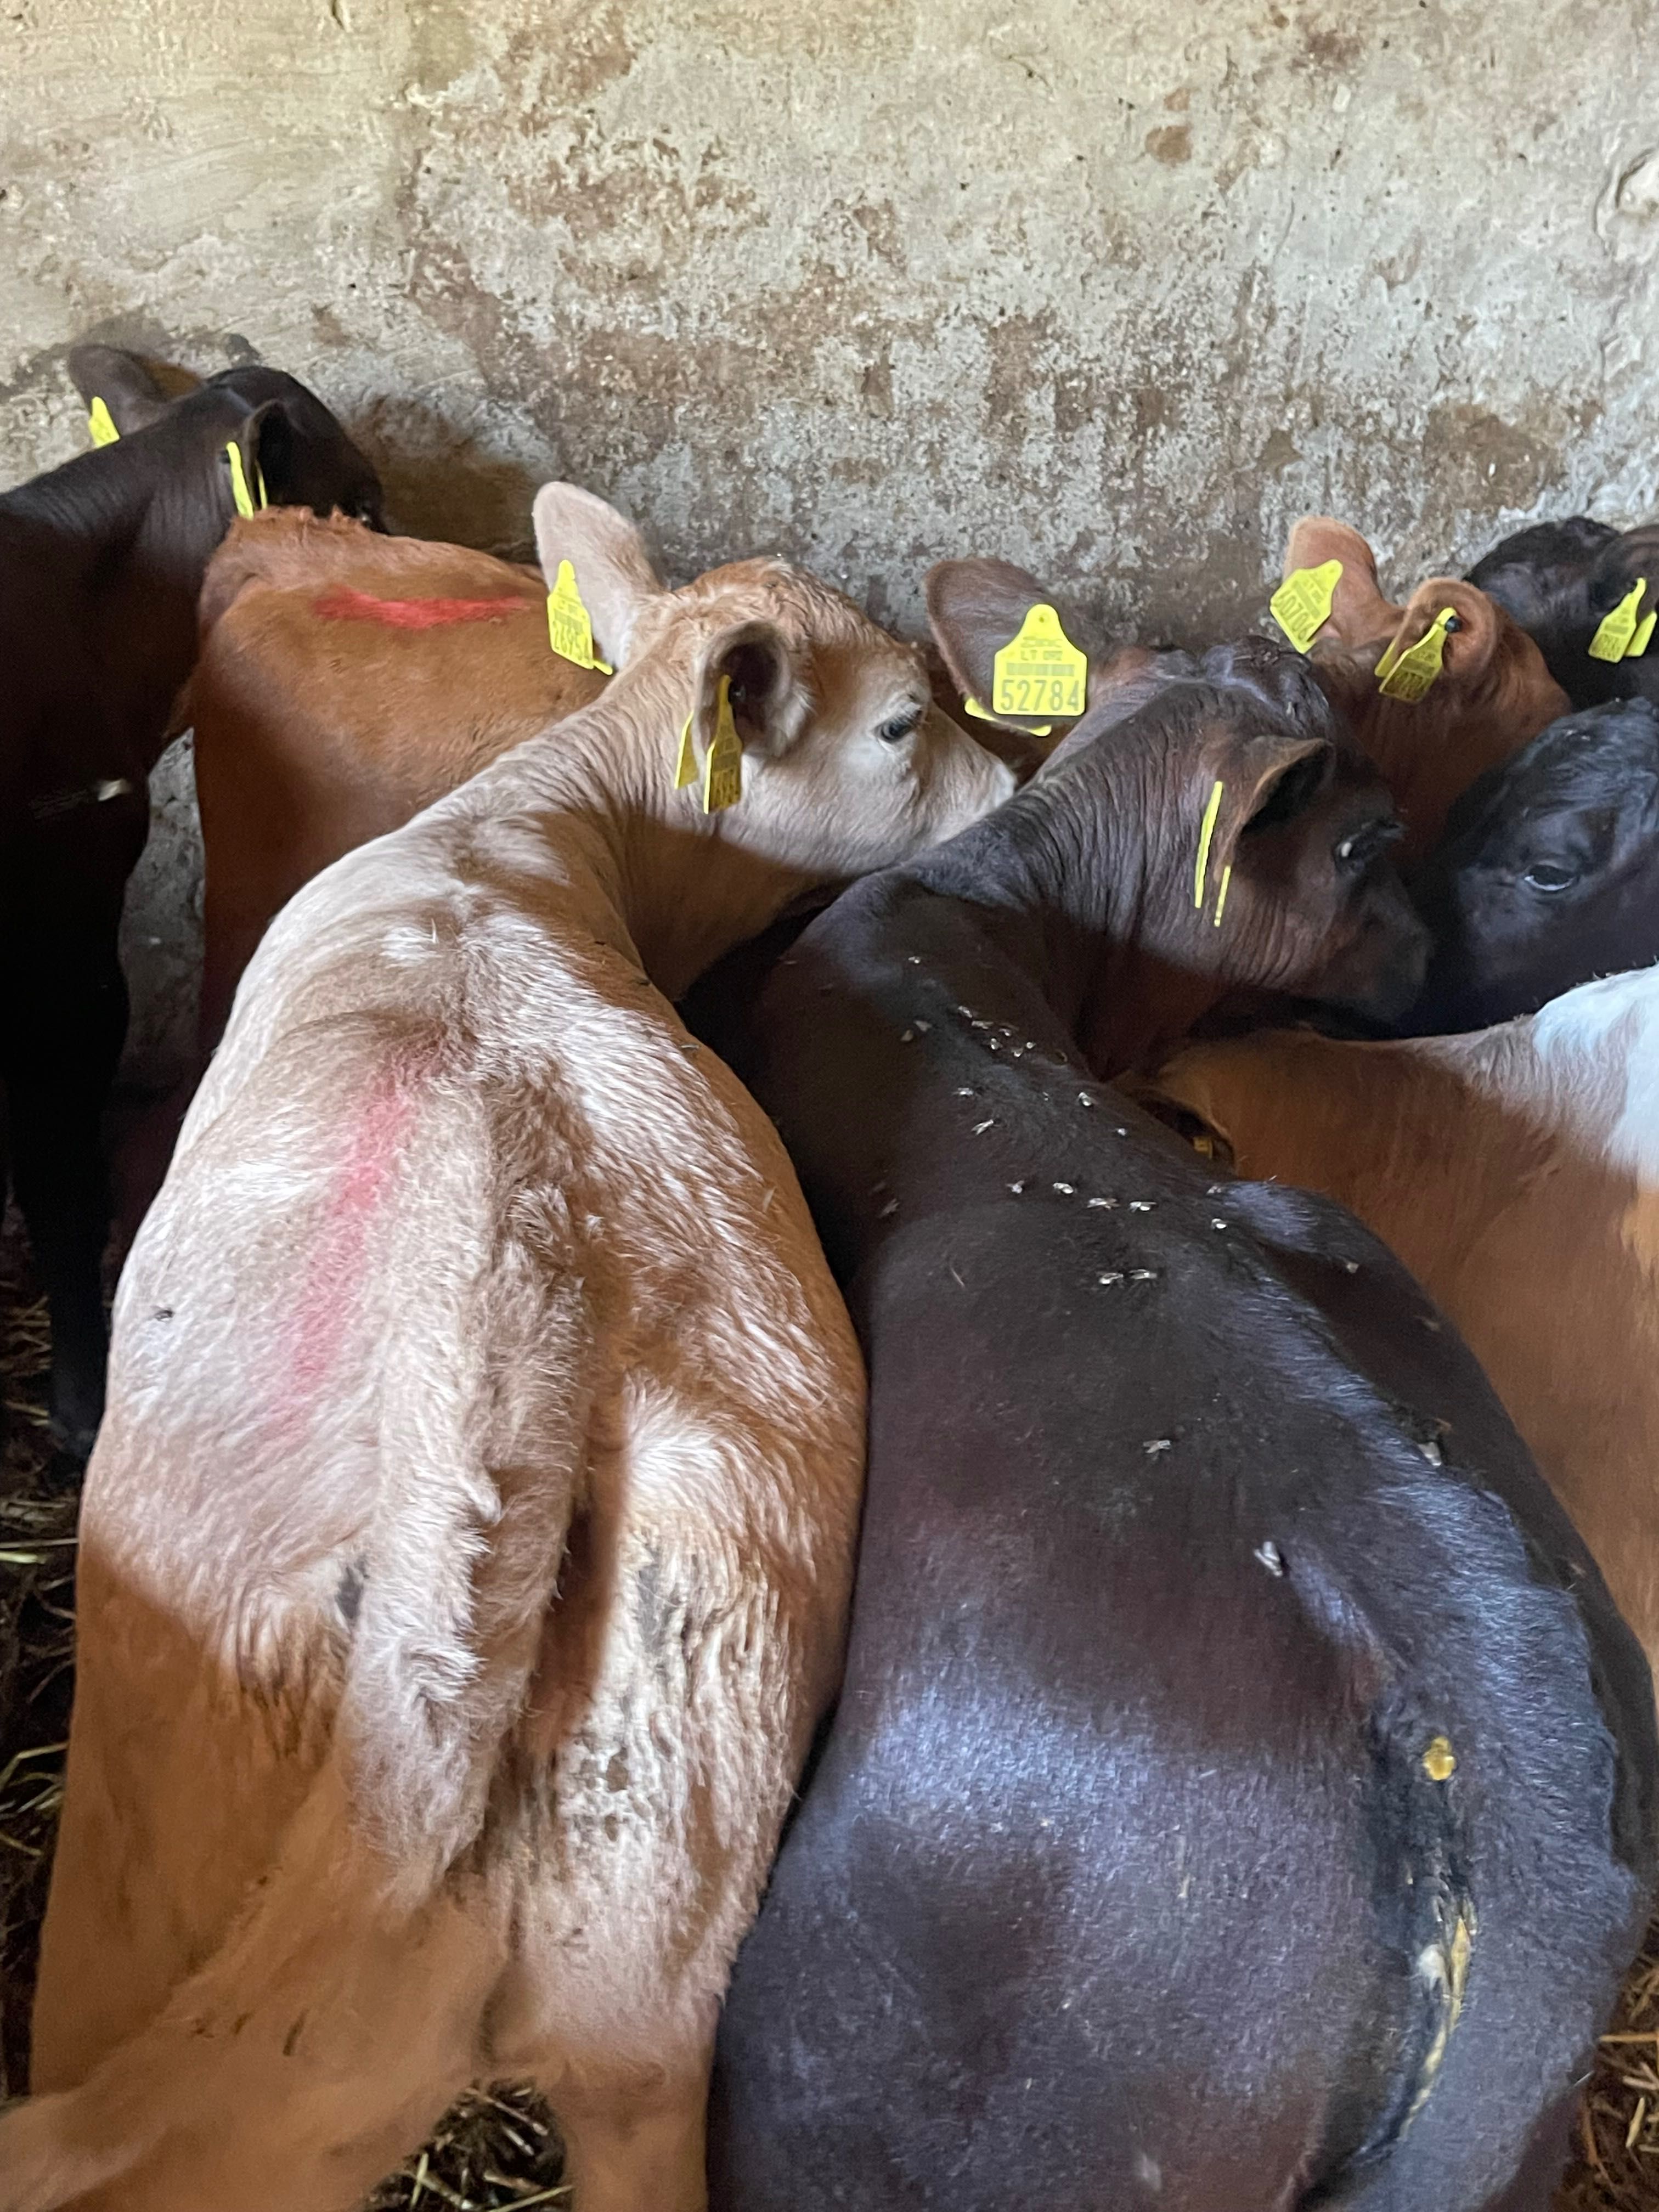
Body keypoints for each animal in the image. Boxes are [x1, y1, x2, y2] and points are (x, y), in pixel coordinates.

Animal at [0, 489, 1022, 2212]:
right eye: (902, 719)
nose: (1022, 780)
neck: (534, 835)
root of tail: (502, 1328)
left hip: (171, 1912)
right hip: (650, 1954)